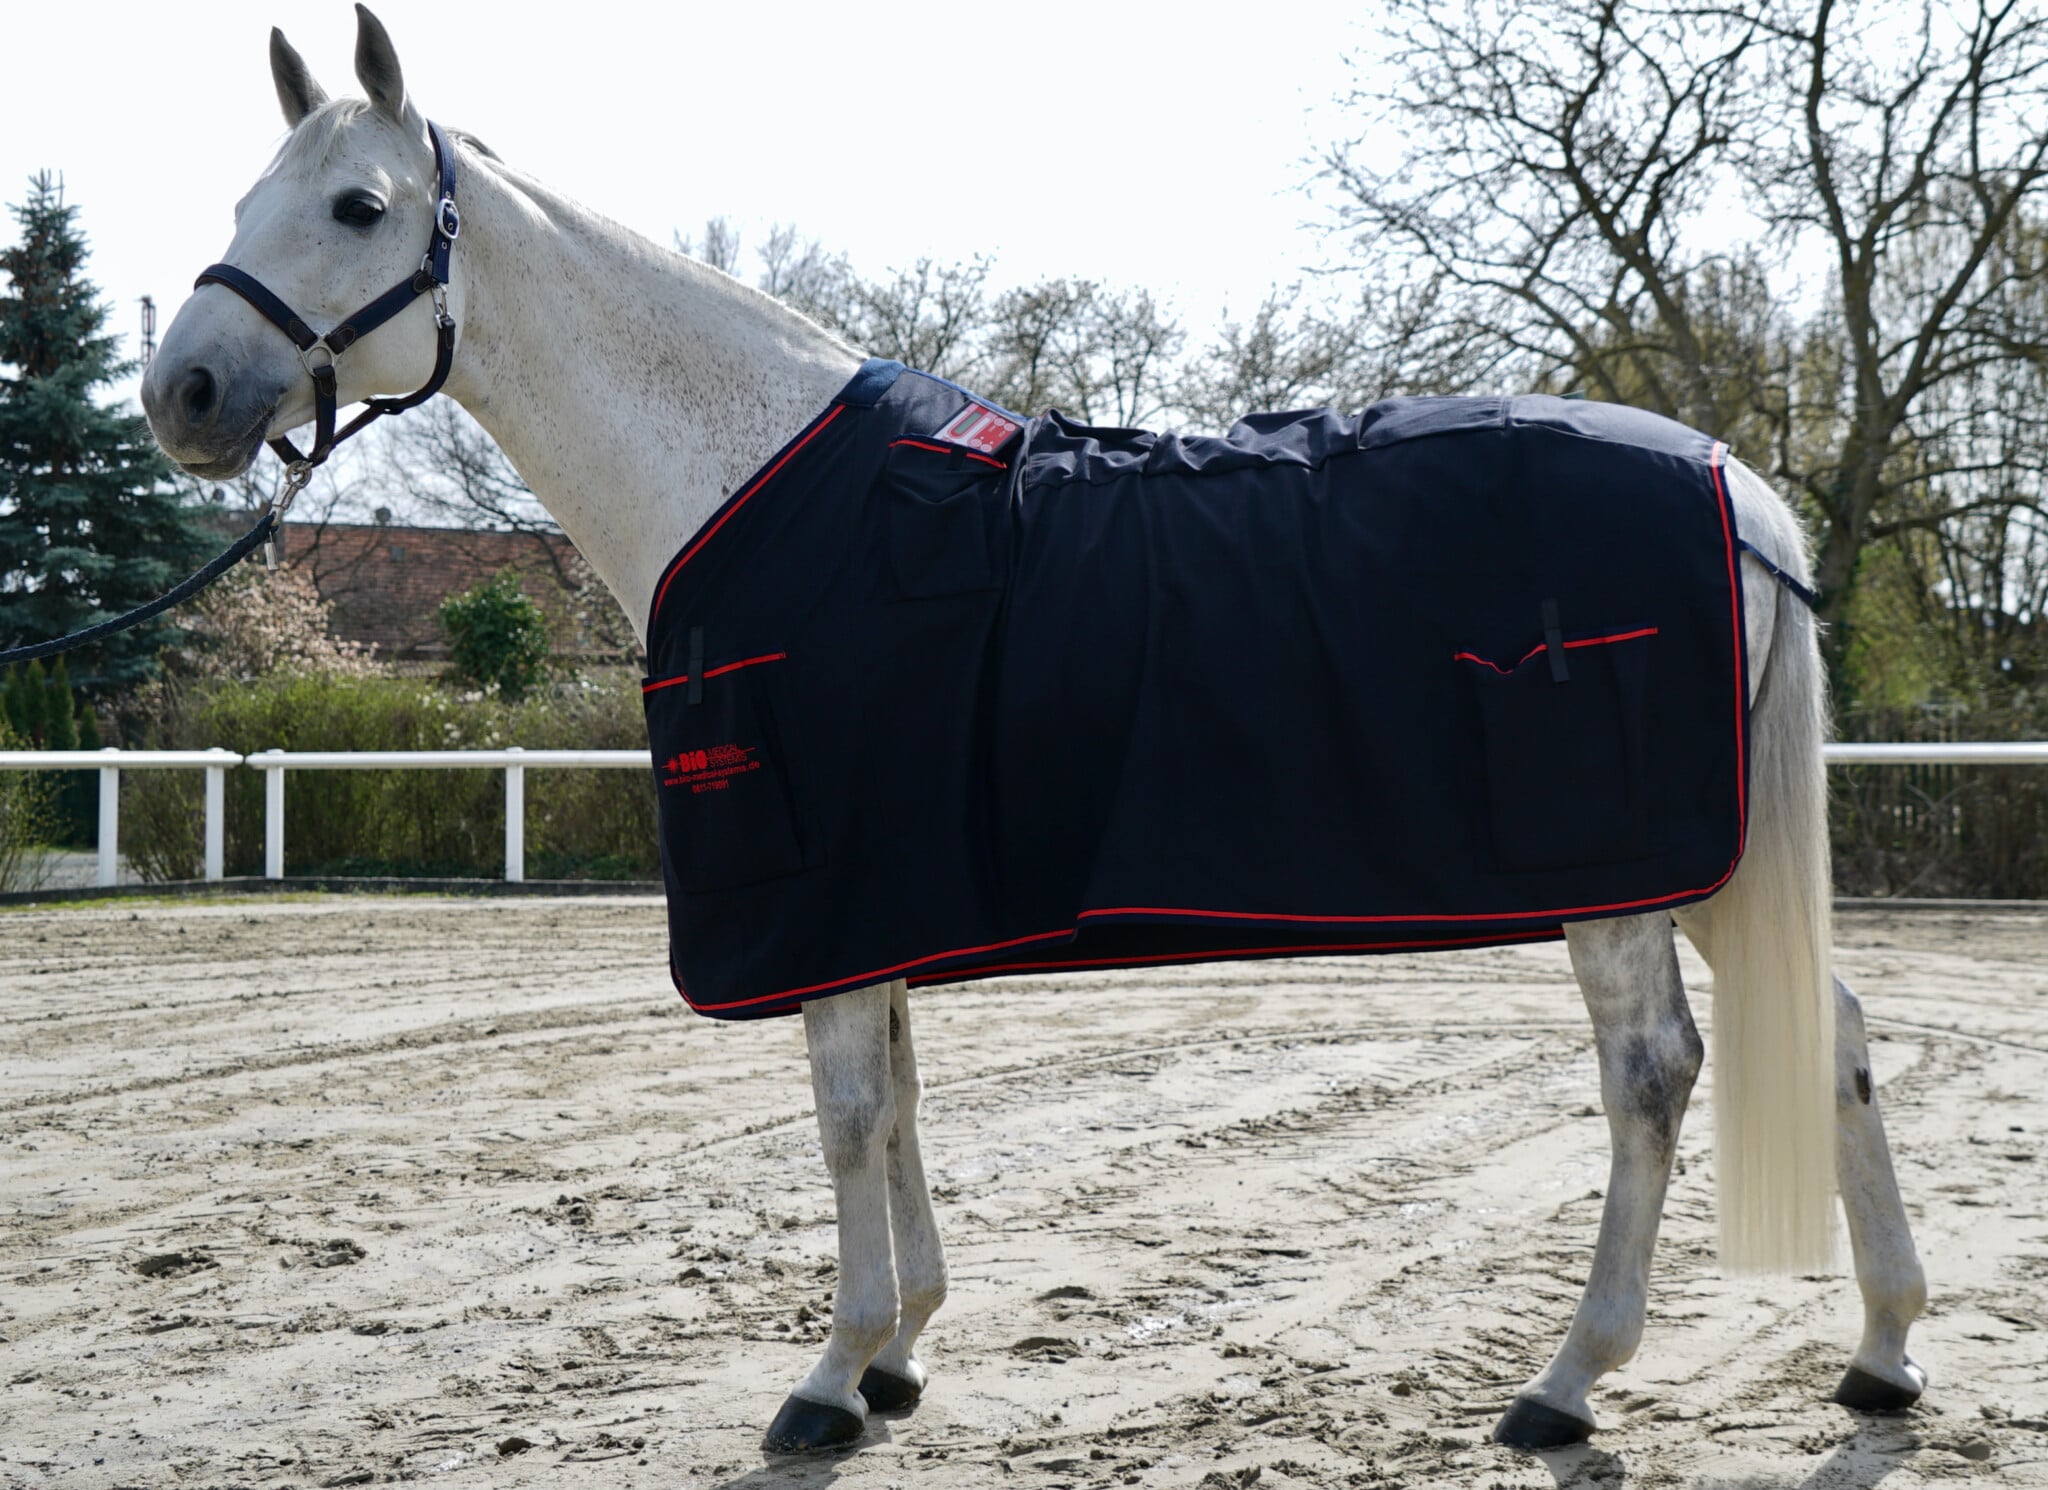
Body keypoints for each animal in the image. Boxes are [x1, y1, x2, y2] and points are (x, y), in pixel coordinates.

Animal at [139, 5, 1928, 1456]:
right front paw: (898, 1356)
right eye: (239, 206)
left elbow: (850, 1111)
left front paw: (830, 1374)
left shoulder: (826, 881)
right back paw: (1886, 1351)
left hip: (1624, 863)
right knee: (1832, 1027)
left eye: (358, 207)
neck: (757, 478)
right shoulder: (878, 891)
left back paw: (1568, 1381)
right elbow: (902, 1094)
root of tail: (1734, 484)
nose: (186, 395)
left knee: (1652, 1073)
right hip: (1712, 854)